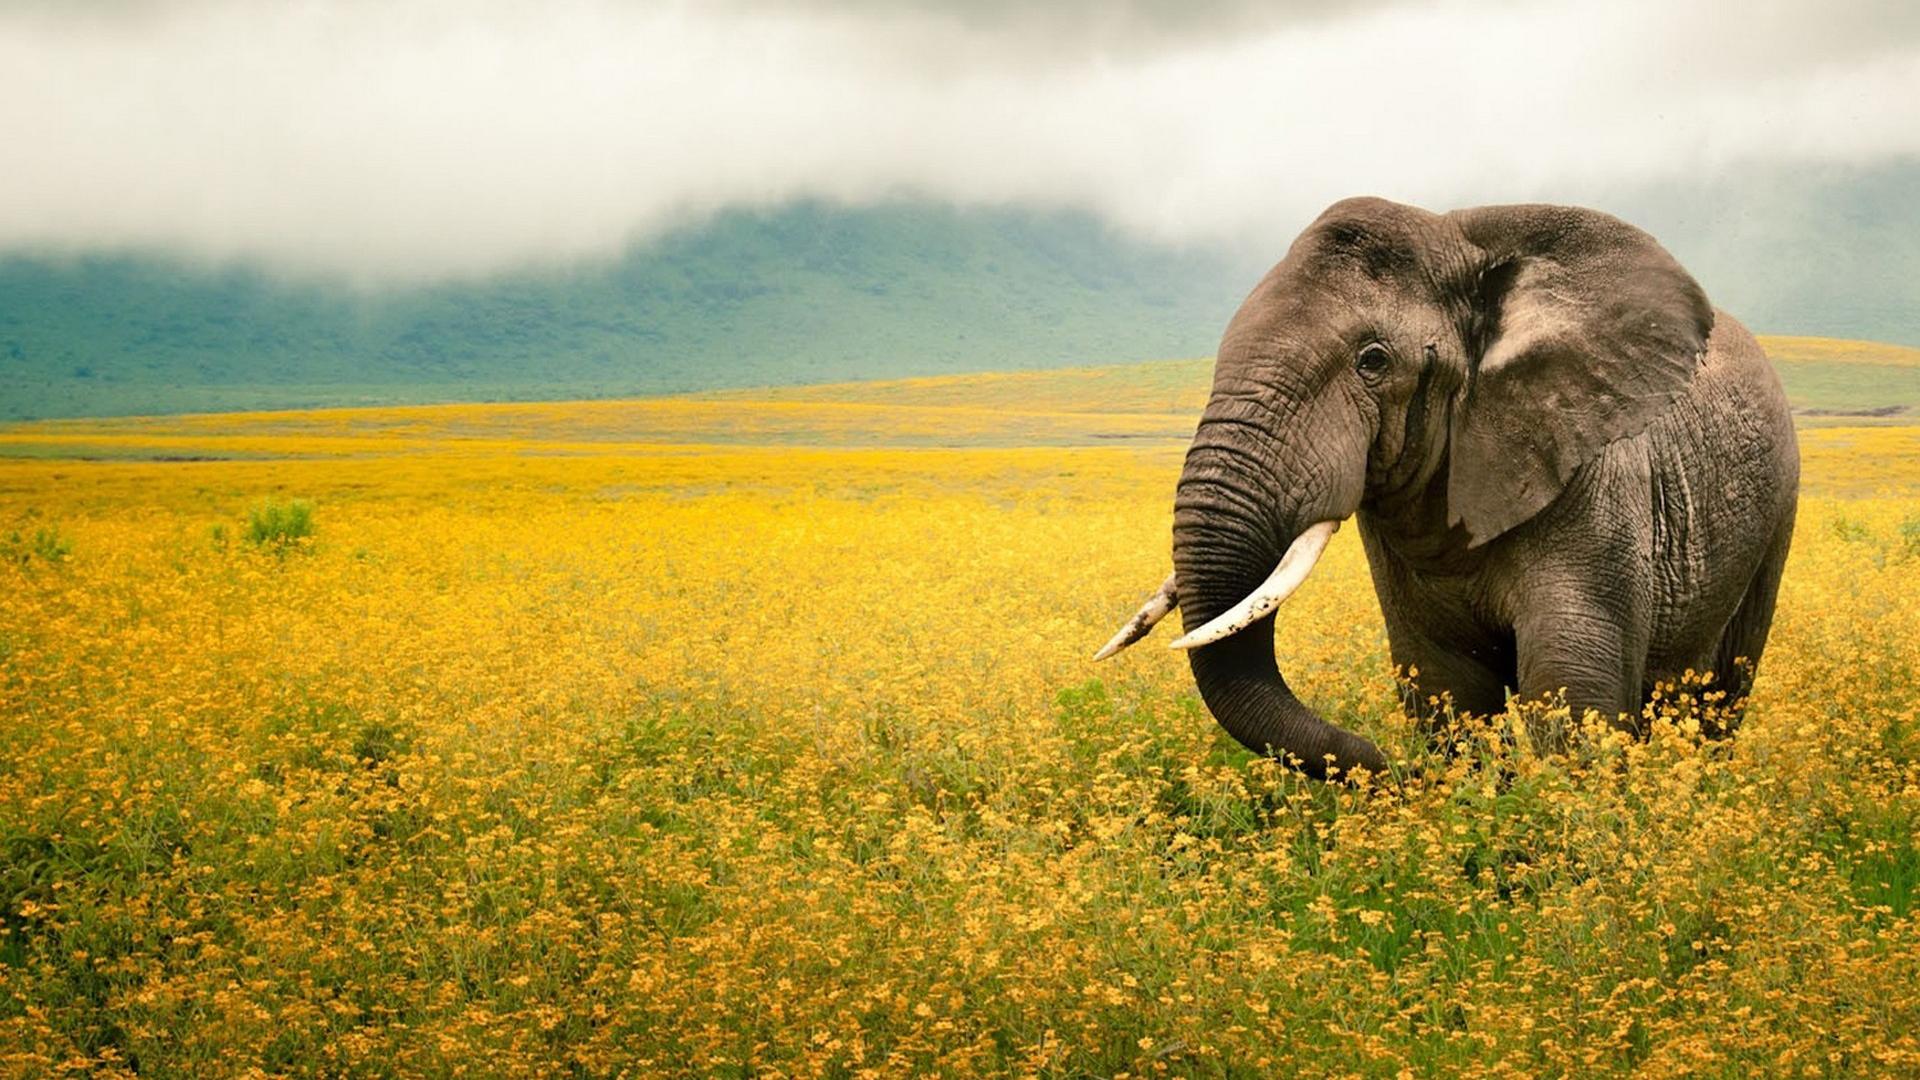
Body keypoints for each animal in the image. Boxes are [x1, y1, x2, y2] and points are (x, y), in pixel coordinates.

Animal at [1096, 197, 1800, 780]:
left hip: (1777, 514)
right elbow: (1447, 686)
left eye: (1373, 361)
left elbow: (1571, 691)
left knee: (1720, 694)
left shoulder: (1598, 478)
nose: (1386, 766)